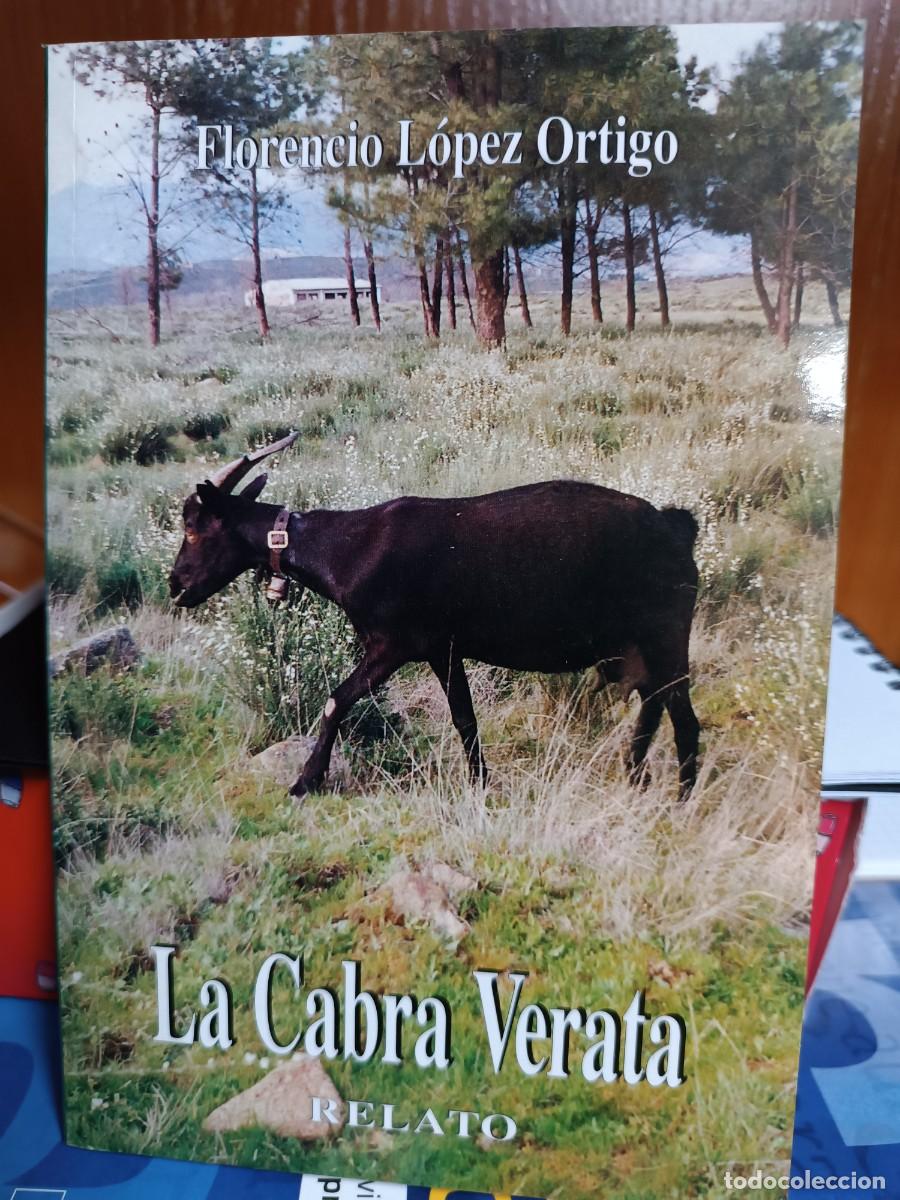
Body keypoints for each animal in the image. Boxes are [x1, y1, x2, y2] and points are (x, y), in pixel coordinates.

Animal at [169, 433, 701, 799]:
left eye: (194, 527)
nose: (176, 587)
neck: (348, 548)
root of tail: (678, 529)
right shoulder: (443, 648)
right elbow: (464, 716)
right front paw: (481, 784)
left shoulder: (395, 644)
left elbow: (336, 701)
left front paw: (305, 782)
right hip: (641, 647)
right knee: (654, 703)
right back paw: (635, 778)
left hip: (666, 635)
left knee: (684, 718)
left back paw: (679, 801)